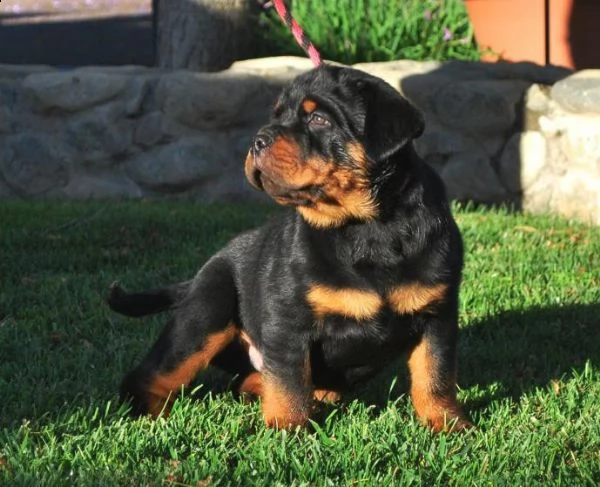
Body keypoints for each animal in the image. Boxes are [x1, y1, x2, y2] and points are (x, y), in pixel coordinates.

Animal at [109, 65, 474, 434]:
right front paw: (289, 430)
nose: (258, 140)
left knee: (247, 382)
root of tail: (203, 271)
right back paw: (151, 419)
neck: (368, 228)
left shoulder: (437, 314)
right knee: (152, 375)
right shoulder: (287, 318)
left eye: (318, 119)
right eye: (277, 115)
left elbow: (435, 374)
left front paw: (448, 424)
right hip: (207, 310)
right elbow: (290, 381)